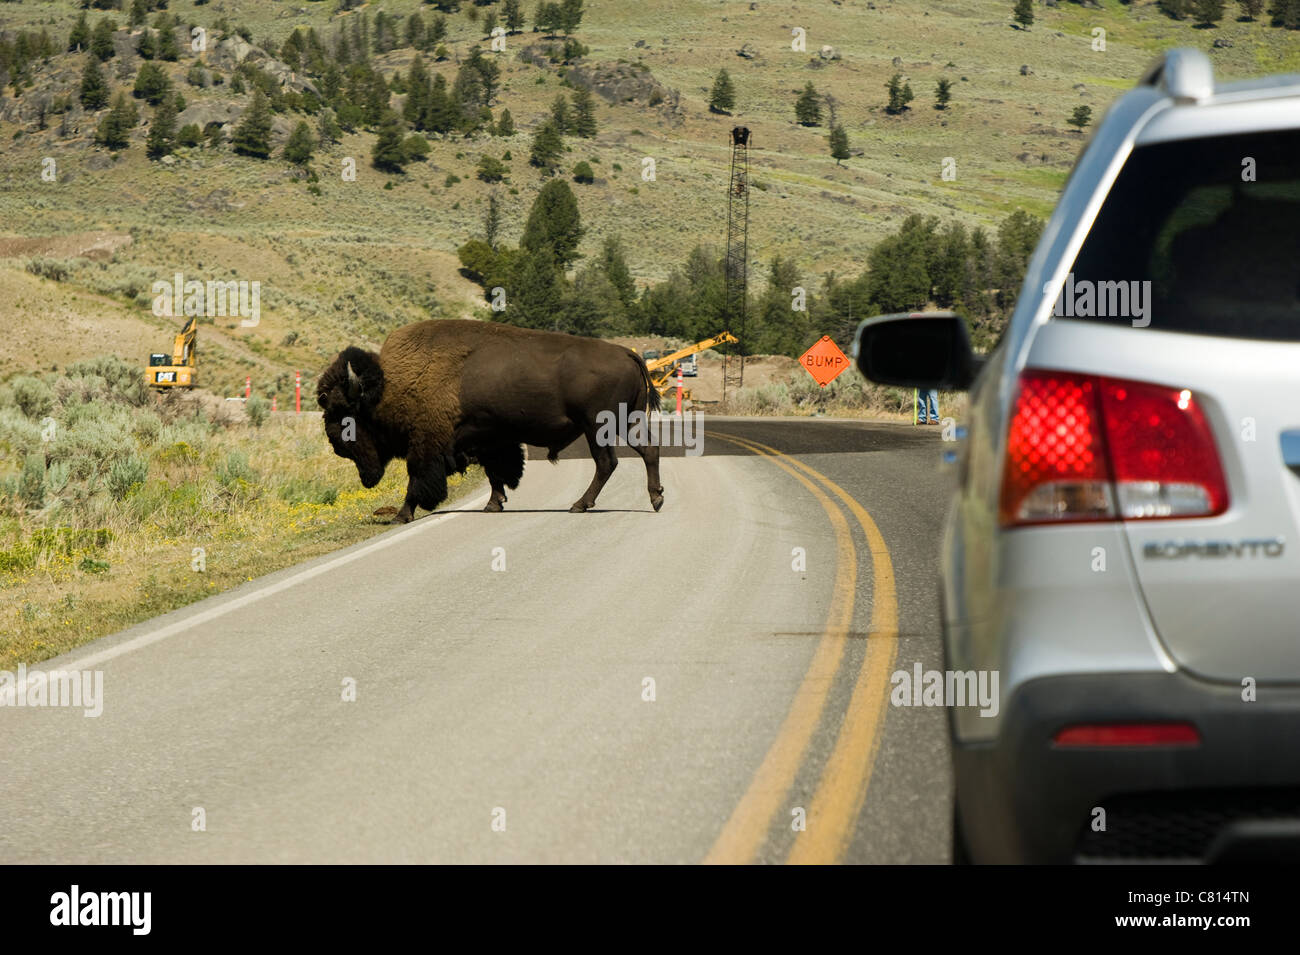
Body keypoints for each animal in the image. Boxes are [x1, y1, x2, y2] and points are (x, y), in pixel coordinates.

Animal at [313, 319, 660, 522]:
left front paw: (401, 515)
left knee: (607, 463)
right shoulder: (489, 439)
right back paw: (656, 498)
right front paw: (494, 504)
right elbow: (496, 473)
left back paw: (580, 504)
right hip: (625, 422)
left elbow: (417, 481)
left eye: (343, 411)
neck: (389, 384)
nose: (334, 441)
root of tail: (628, 353)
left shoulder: (428, 444)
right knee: (647, 452)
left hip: (597, 427)